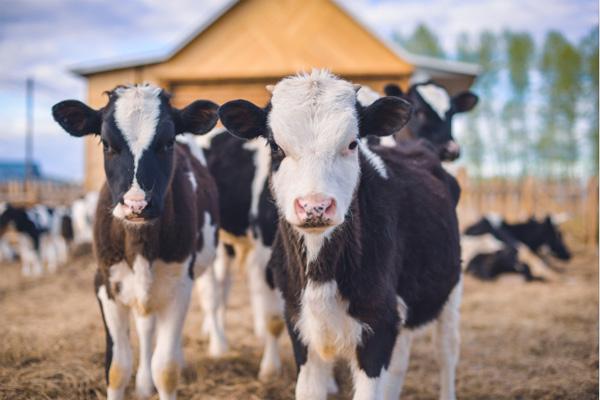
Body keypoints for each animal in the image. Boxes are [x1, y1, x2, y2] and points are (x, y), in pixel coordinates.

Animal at [52, 83, 223, 398]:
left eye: (167, 142)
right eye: (107, 144)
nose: (137, 205)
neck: (139, 244)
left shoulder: (180, 285)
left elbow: (165, 369)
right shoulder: (104, 284)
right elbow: (117, 368)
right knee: (145, 328)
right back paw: (143, 384)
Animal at [220, 70, 464, 400]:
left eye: (352, 143)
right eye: (275, 146)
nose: (315, 206)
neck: (320, 274)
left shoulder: (378, 327)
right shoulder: (300, 326)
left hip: (450, 289)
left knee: (447, 352)